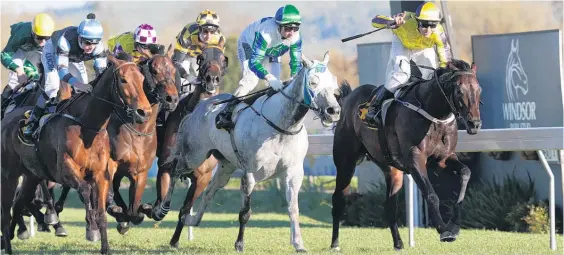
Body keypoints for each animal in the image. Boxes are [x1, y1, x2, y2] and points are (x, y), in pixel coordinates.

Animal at [1, 54, 152, 254]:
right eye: (123, 79)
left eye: (142, 80)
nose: (144, 112)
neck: (88, 126)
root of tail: (5, 119)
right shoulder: (65, 170)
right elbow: (85, 190)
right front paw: (91, 230)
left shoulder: (101, 175)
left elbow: (102, 213)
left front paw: (105, 246)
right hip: (8, 175)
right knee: (5, 211)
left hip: (31, 176)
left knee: (18, 203)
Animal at [104, 46, 178, 235]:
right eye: (154, 71)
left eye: (174, 70)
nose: (172, 99)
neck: (138, 131)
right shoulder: (111, 163)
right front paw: (118, 212)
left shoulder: (141, 172)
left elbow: (134, 209)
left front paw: (145, 209)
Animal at [330, 59, 480, 251]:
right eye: (460, 91)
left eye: (478, 89)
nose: (474, 124)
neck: (433, 114)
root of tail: (349, 98)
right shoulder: (415, 160)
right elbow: (431, 194)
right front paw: (443, 229)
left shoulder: (443, 159)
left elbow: (466, 173)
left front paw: (454, 225)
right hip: (346, 163)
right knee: (338, 200)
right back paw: (335, 244)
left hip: (392, 170)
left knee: (390, 208)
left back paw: (398, 243)